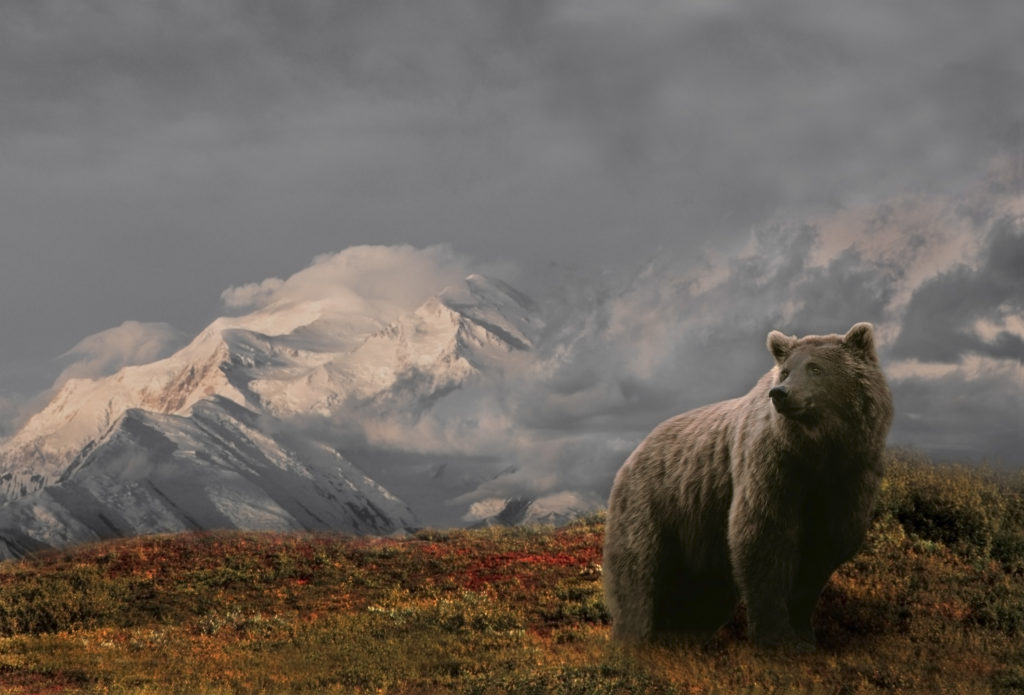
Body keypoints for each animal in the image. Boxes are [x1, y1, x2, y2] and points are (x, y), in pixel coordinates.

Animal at [603, 322, 893, 649]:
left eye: (815, 368)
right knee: (637, 570)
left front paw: (804, 634)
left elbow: (823, 548)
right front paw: (777, 637)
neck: (818, 450)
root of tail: (634, 454)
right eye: (786, 371)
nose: (780, 393)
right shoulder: (772, 467)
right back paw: (633, 638)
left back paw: (681, 635)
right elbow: (763, 538)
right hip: (654, 502)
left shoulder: (849, 476)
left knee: (701, 593)